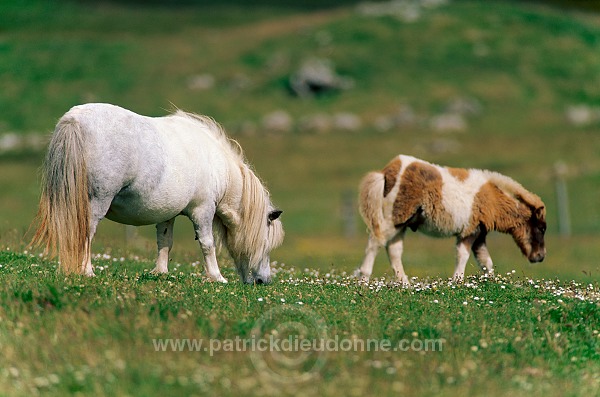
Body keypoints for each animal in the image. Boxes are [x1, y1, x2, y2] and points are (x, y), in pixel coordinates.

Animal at [31, 102, 284, 282]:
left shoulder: (167, 213)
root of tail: (74, 120)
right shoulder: (202, 210)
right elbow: (207, 243)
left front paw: (160, 272)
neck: (218, 165)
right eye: (266, 242)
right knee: (86, 233)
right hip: (96, 203)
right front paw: (216, 277)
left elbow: (165, 242)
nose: (263, 281)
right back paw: (87, 271)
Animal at [354, 154, 548, 282]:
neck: (492, 198)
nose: (540, 257)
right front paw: (457, 282)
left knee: (393, 250)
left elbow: (486, 261)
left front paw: (491, 284)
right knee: (375, 242)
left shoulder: (479, 234)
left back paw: (405, 285)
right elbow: (463, 255)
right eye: (541, 228)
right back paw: (364, 280)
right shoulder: (469, 231)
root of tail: (386, 172)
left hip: (401, 224)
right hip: (392, 220)